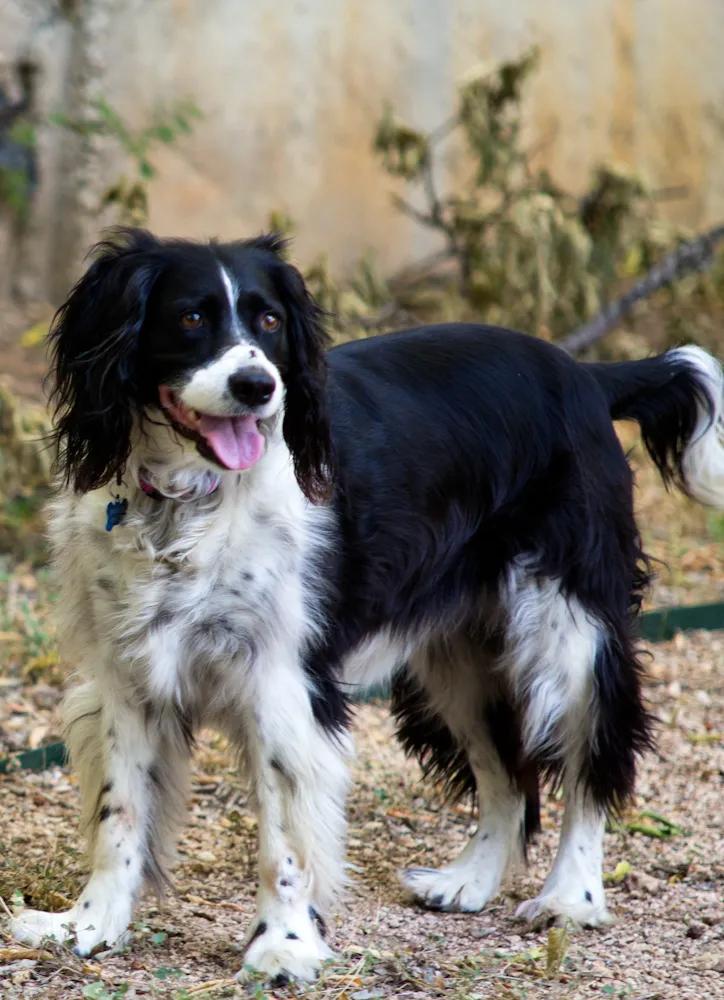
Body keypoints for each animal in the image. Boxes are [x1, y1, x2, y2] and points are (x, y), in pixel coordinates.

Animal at [9, 229, 724, 984]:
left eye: (270, 321)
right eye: (190, 317)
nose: (258, 387)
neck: (185, 502)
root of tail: (585, 375)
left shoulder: (281, 682)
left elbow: (285, 836)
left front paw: (284, 946)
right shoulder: (128, 677)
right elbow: (119, 811)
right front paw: (88, 926)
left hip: (568, 634)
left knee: (591, 757)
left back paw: (570, 897)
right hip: (458, 657)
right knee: (506, 773)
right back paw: (470, 880)